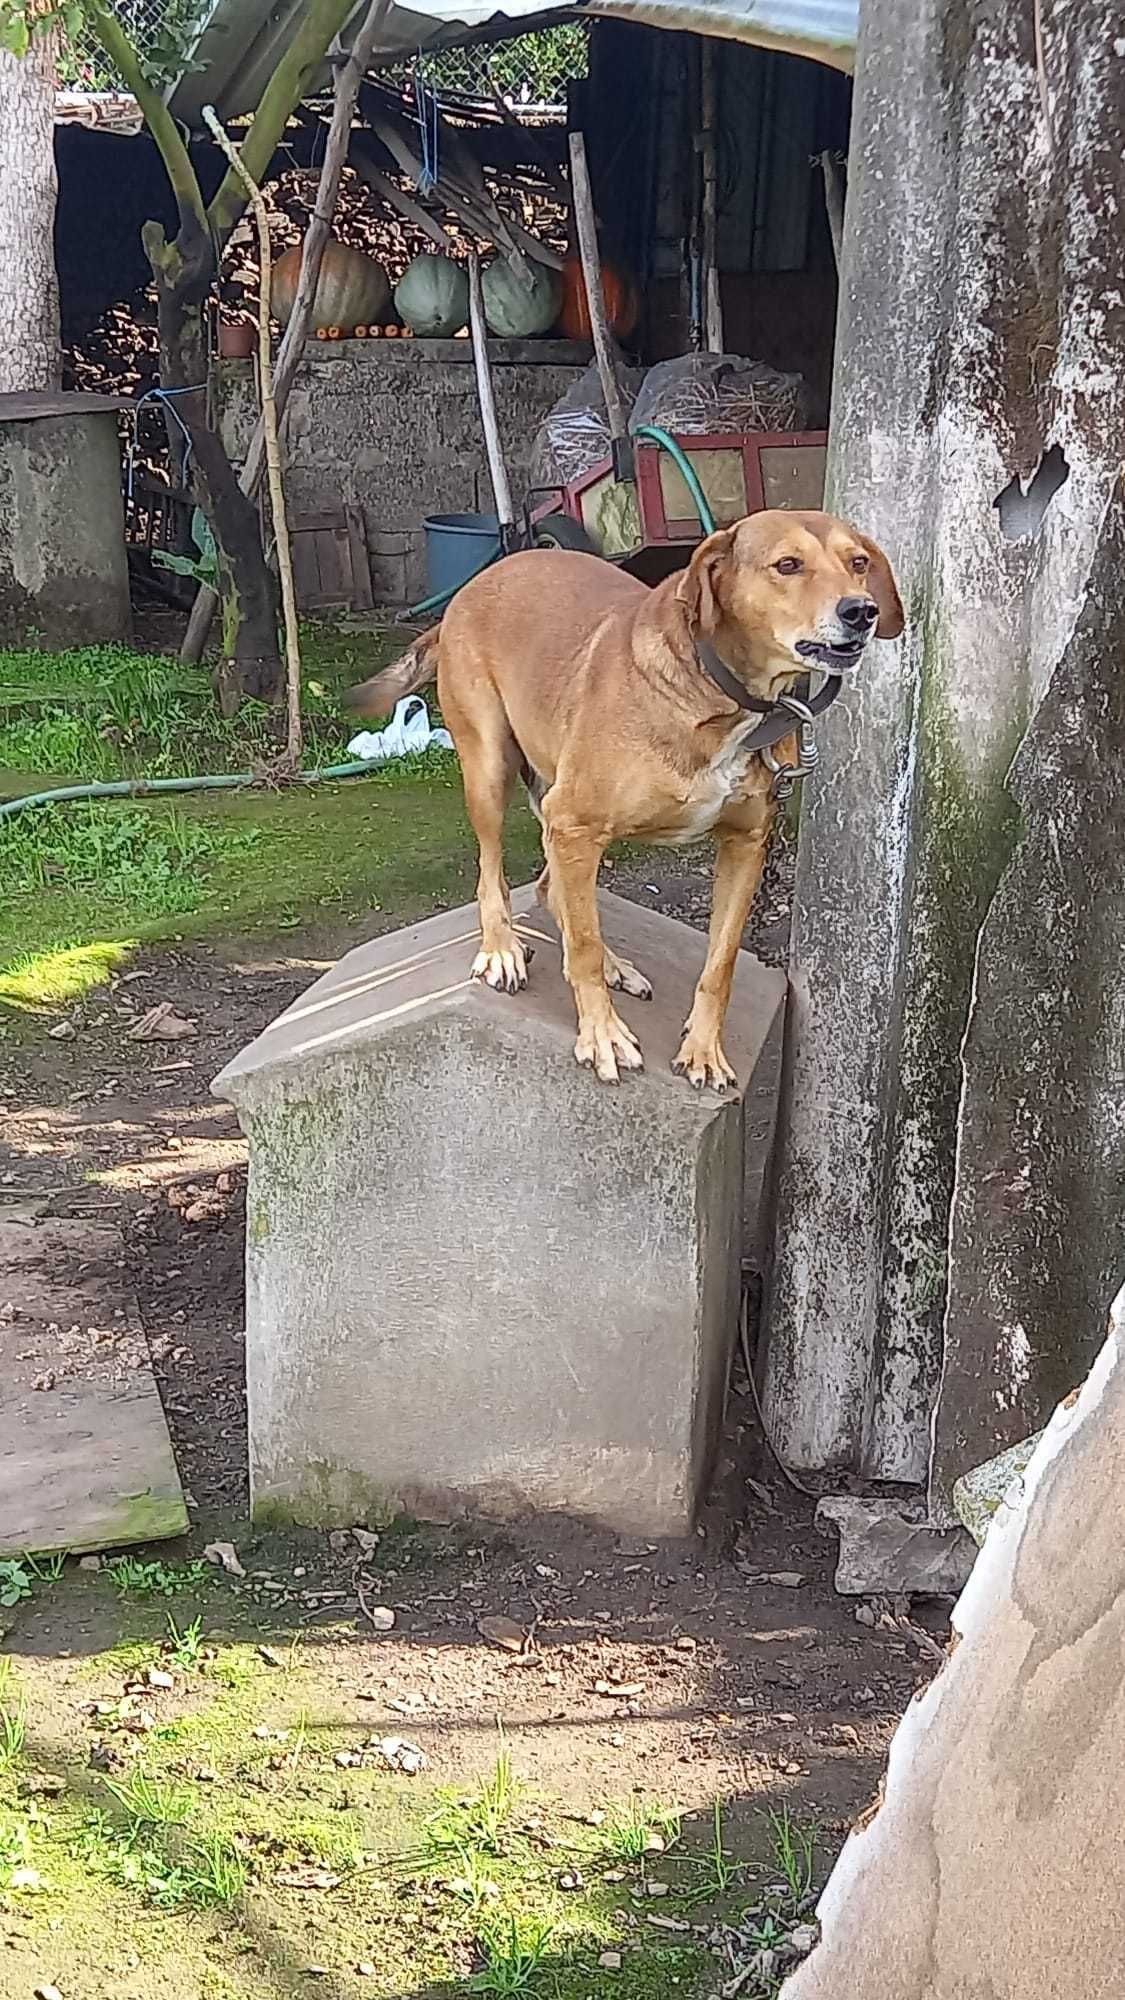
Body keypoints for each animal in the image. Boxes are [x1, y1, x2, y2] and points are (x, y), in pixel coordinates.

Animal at [346, 508, 896, 1088]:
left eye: (858, 563)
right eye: (787, 565)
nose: (862, 611)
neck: (721, 697)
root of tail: (474, 584)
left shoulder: (745, 845)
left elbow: (719, 962)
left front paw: (704, 1048)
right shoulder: (575, 822)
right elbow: (582, 948)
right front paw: (602, 1035)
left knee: (553, 890)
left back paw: (612, 962)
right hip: (492, 769)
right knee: (493, 875)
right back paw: (501, 949)